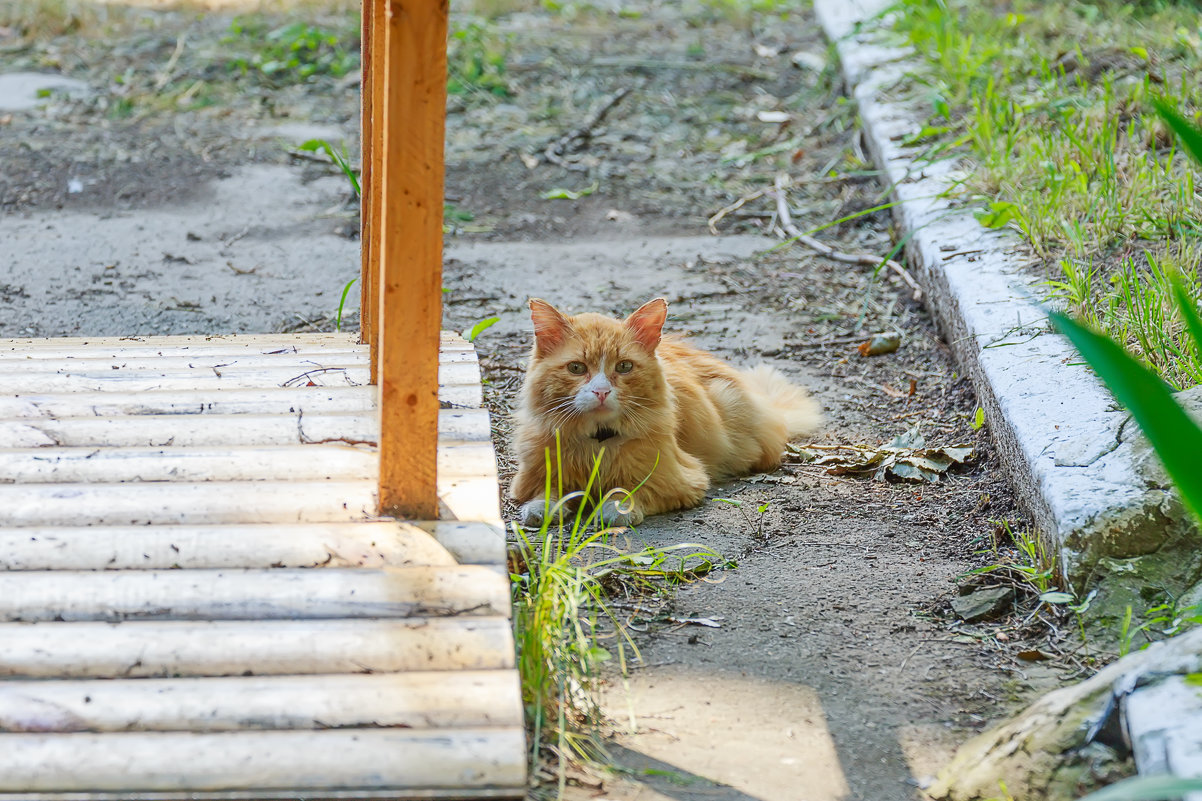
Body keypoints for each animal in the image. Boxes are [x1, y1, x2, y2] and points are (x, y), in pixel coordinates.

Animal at [512, 295, 822, 526]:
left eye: (624, 366)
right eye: (576, 368)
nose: (601, 392)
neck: (598, 444)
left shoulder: (683, 479)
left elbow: (629, 490)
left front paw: (612, 509)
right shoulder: (530, 478)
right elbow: (546, 492)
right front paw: (543, 508)